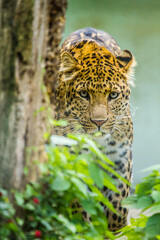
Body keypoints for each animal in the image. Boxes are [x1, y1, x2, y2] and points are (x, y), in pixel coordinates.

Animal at [55, 27, 136, 233]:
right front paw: (85, 225)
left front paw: (112, 227)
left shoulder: (119, 159)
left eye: (113, 95)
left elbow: (118, 204)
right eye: (84, 94)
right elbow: (76, 200)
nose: (99, 122)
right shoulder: (72, 162)